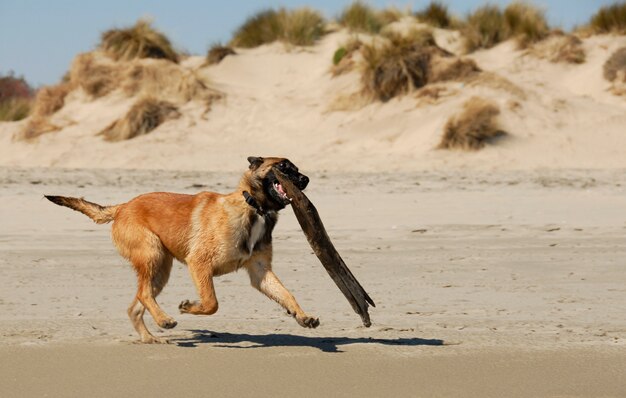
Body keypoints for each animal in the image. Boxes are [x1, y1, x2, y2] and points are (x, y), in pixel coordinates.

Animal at [44, 157, 320, 344]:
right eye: (283, 166)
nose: (306, 180)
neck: (253, 207)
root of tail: (122, 207)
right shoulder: (199, 264)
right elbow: (211, 303)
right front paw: (189, 307)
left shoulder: (260, 272)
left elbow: (287, 294)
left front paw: (302, 315)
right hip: (152, 255)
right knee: (144, 294)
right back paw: (164, 320)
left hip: (160, 269)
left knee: (137, 304)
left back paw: (150, 337)